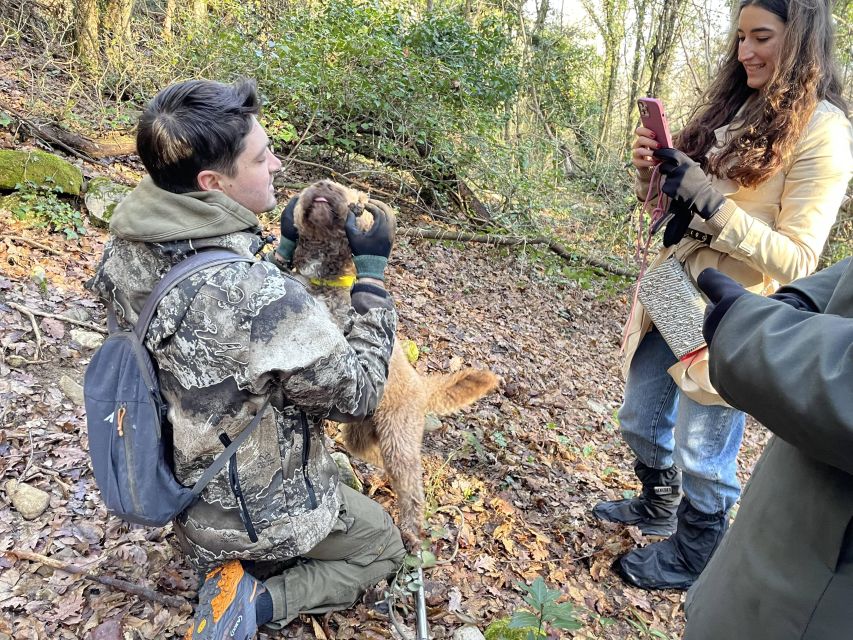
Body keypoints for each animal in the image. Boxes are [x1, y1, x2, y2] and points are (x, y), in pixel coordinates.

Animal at [292, 178, 500, 548]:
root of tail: (422, 385)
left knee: (412, 488)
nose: (324, 184)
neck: (325, 279)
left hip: (398, 440)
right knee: (377, 459)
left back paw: (412, 532)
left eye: (351, 194)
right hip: (362, 434)